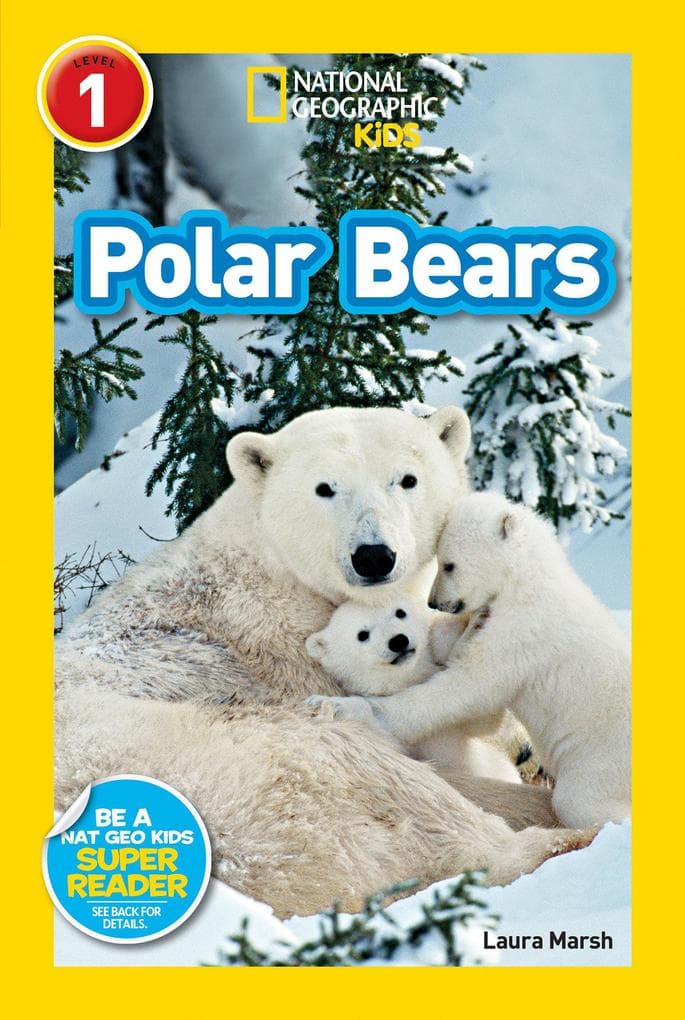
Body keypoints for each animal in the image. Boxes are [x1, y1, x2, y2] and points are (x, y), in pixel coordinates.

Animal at [305, 596, 524, 786]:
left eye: (400, 612)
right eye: (362, 635)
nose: (398, 641)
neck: (406, 679)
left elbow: (483, 721)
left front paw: (475, 625)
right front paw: (329, 705)